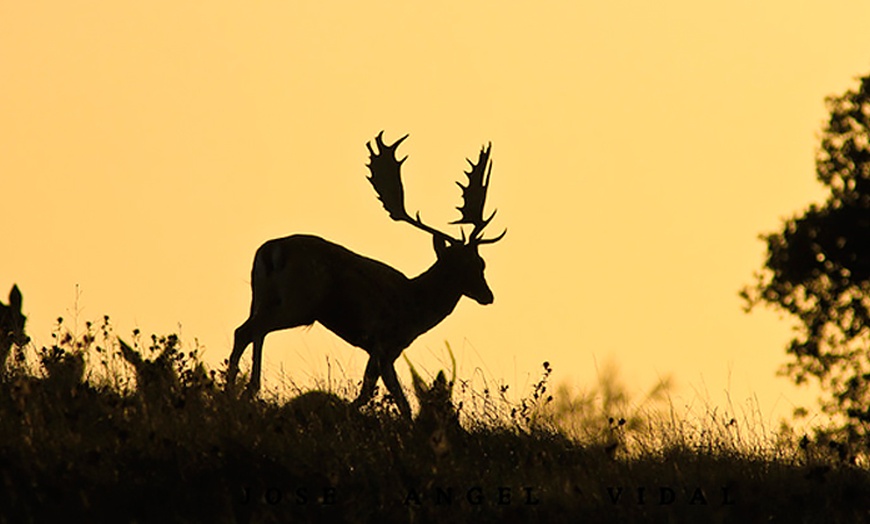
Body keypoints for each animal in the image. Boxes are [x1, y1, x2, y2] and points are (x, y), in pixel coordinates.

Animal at [228, 132, 508, 418]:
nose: (488, 295)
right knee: (252, 330)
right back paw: (243, 390)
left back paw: (240, 390)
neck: (416, 306)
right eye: (463, 266)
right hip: (300, 302)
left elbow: (398, 398)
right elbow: (372, 392)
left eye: (481, 262)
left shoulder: (384, 349)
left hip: (260, 297)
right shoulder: (384, 340)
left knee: (249, 331)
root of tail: (270, 250)